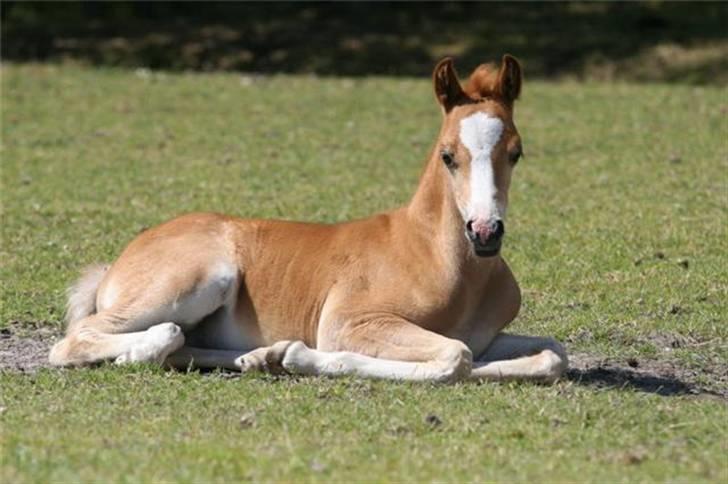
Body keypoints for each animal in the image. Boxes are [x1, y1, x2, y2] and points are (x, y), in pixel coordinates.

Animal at [49, 56, 568, 382]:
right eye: (447, 155)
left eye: (516, 153)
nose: (484, 233)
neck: (442, 261)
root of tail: (115, 264)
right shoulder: (349, 323)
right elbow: (455, 357)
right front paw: (298, 355)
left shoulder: (487, 337)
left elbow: (551, 354)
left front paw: (277, 355)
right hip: (197, 280)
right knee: (83, 339)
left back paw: (258, 357)